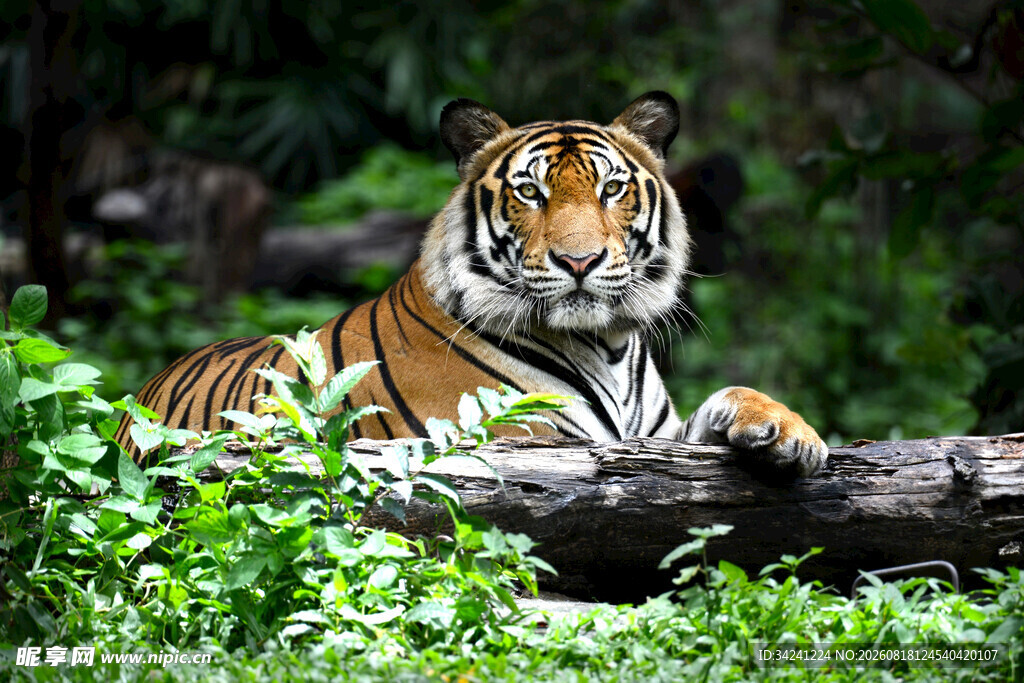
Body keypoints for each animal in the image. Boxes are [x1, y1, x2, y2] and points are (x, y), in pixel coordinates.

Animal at [116, 91, 828, 477]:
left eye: (611, 189)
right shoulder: (527, 442)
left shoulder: (657, 440)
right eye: (530, 192)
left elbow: (730, 396)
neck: (607, 344)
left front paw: (790, 434)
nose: (579, 261)